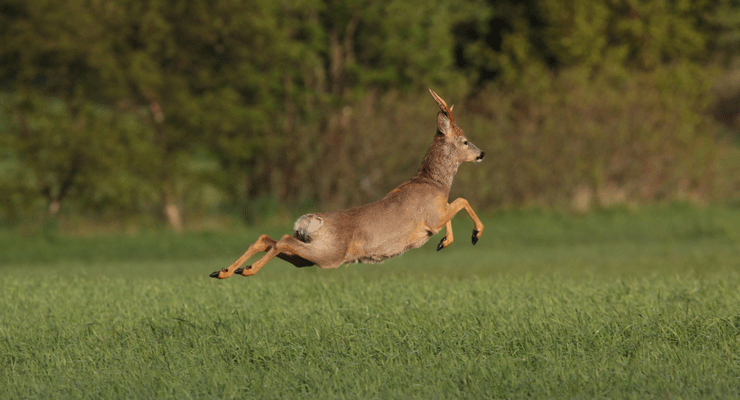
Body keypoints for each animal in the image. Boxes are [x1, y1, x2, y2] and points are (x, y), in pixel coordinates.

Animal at [208, 89, 486, 280]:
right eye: (465, 141)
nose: (482, 153)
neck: (434, 182)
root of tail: (307, 221)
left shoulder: (439, 211)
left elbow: (455, 206)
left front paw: (444, 242)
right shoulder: (433, 216)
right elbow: (462, 200)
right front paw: (475, 234)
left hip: (309, 255)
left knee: (267, 238)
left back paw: (225, 271)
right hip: (329, 254)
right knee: (283, 239)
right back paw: (246, 270)